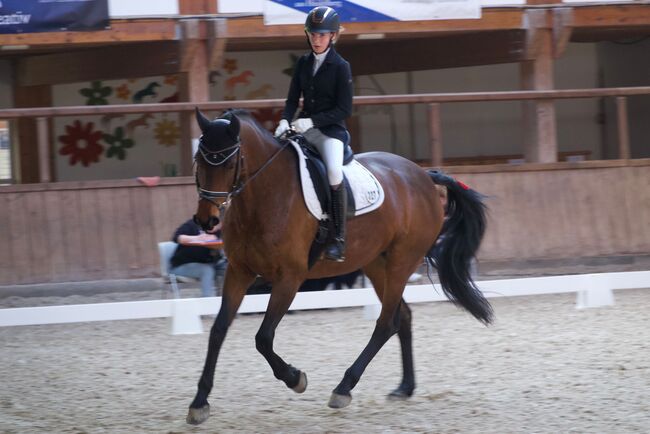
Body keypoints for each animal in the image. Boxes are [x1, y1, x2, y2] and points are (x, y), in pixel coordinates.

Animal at [187, 108, 492, 424]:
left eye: (229, 162)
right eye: (199, 160)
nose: (207, 220)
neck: (263, 196)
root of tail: (424, 175)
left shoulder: (289, 278)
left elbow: (263, 338)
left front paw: (295, 378)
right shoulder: (239, 271)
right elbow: (218, 331)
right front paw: (199, 403)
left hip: (402, 261)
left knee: (387, 323)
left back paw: (344, 388)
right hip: (376, 263)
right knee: (403, 316)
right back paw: (404, 387)